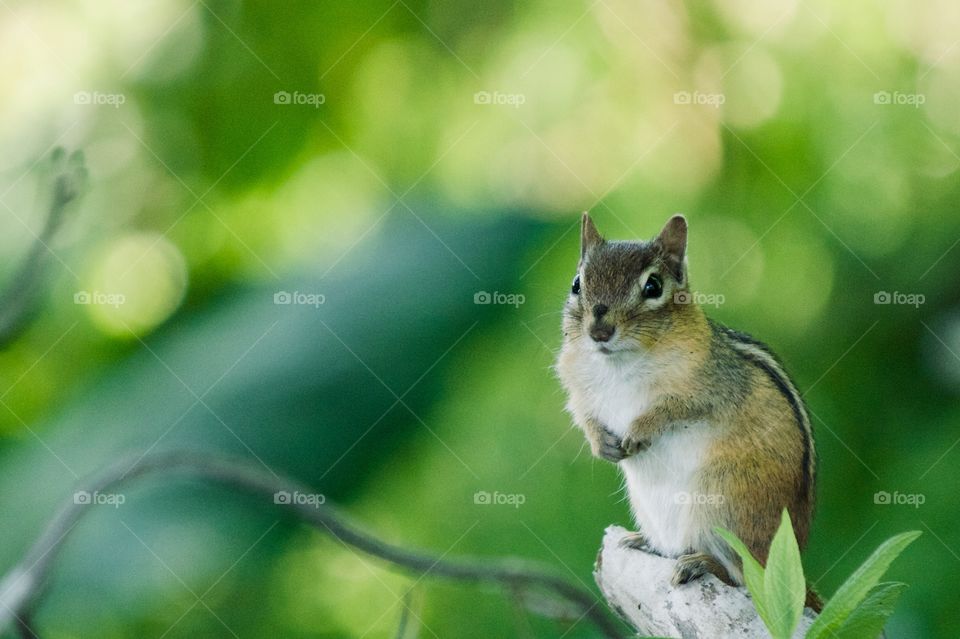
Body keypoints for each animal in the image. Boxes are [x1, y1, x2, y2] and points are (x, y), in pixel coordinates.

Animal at [556, 212, 821, 610]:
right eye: (576, 284)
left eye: (653, 286)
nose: (599, 330)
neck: (619, 362)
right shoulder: (579, 390)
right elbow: (584, 415)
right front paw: (601, 443)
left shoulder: (708, 389)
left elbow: (671, 410)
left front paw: (639, 431)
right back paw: (646, 542)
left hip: (724, 504)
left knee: (742, 577)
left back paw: (702, 563)